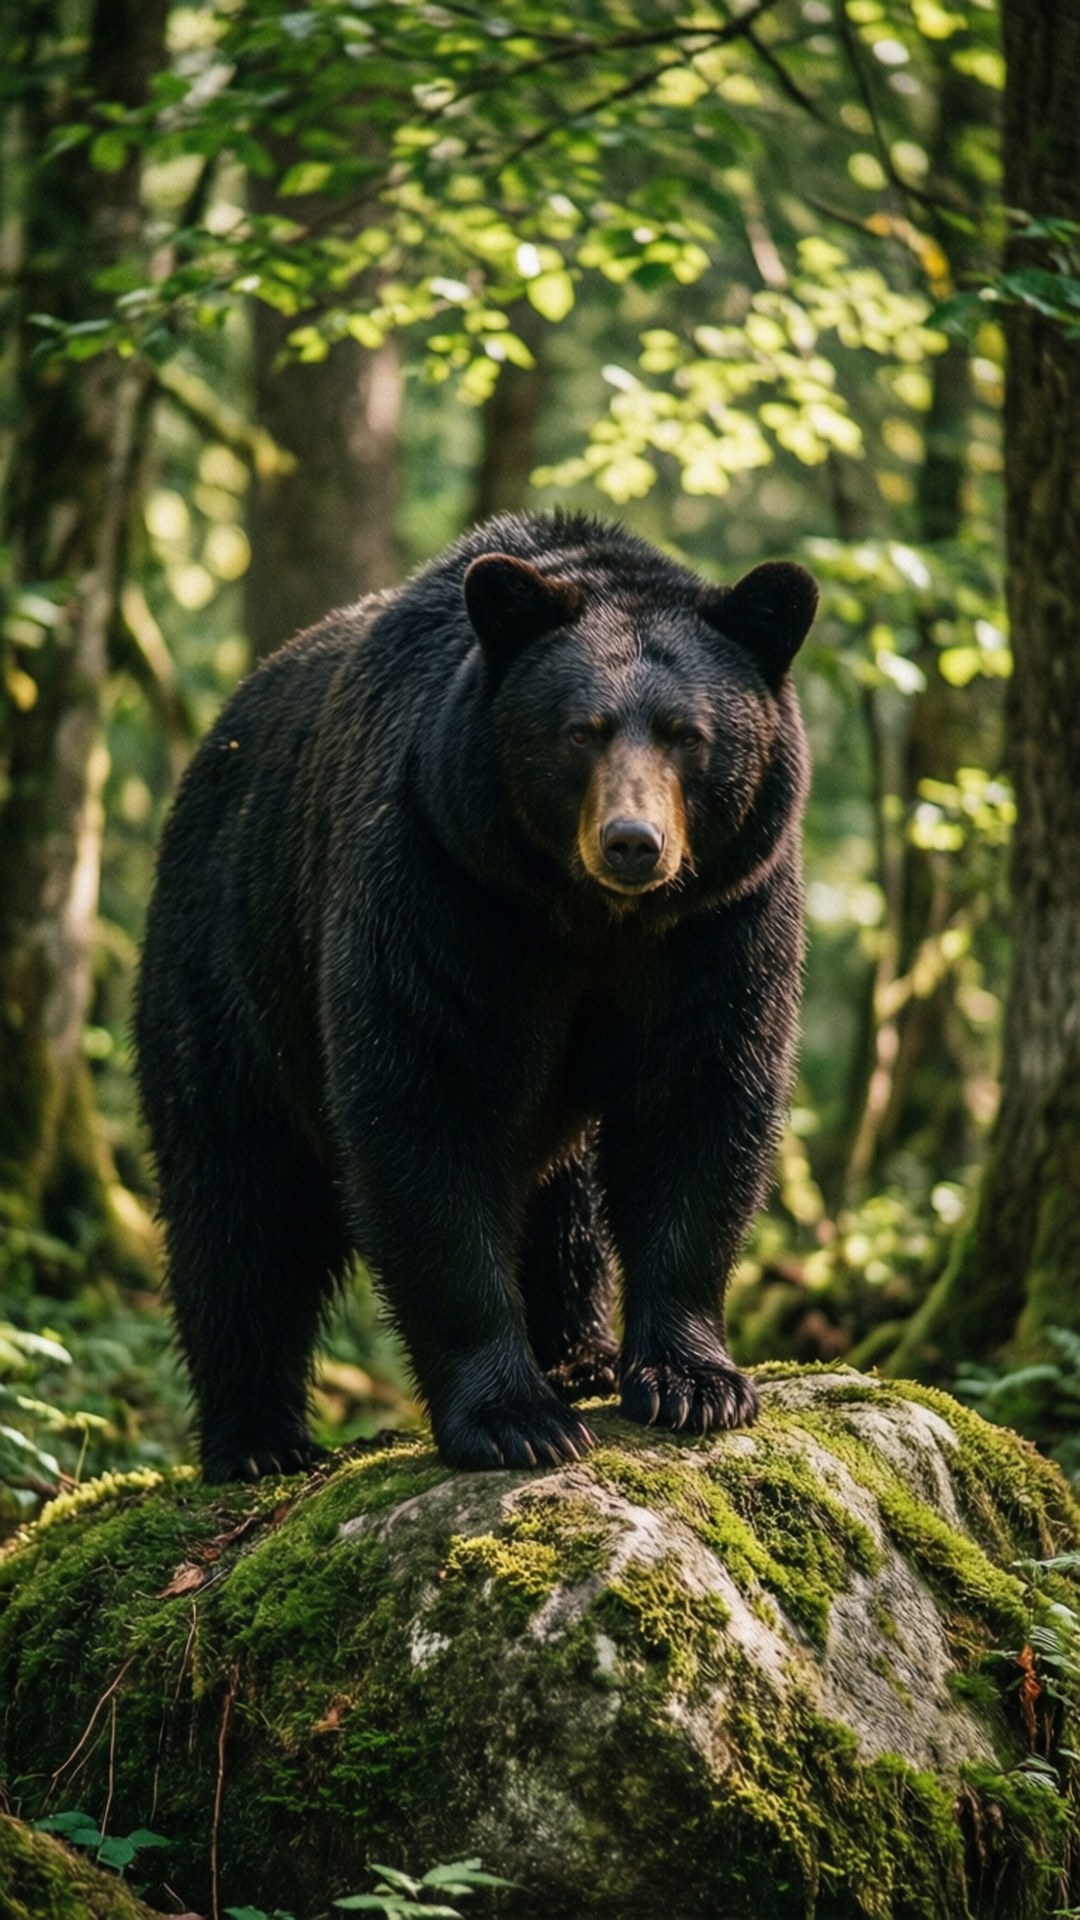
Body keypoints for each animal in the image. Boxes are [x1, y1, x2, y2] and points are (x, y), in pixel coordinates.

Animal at [135, 512, 816, 1479]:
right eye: (581, 730)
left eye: (688, 733)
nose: (632, 842)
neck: (587, 918)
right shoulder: (442, 889)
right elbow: (429, 1108)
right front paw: (513, 1417)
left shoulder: (721, 922)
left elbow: (701, 1102)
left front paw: (694, 1383)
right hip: (231, 957)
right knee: (236, 1192)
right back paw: (257, 1437)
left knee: (562, 1199)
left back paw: (580, 1354)